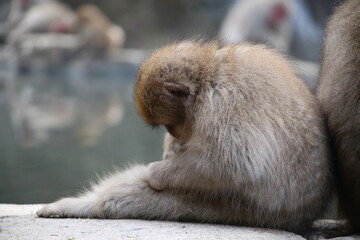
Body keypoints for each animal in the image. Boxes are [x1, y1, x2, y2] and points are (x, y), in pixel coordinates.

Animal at [36, 40, 332, 235]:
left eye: (169, 122)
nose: (173, 133)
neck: (208, 77)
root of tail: (303, 217)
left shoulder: (226, 99)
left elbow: (236, 162)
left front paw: (156, 172)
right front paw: (171, 150)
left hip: (236, 209)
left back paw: (81, 206)